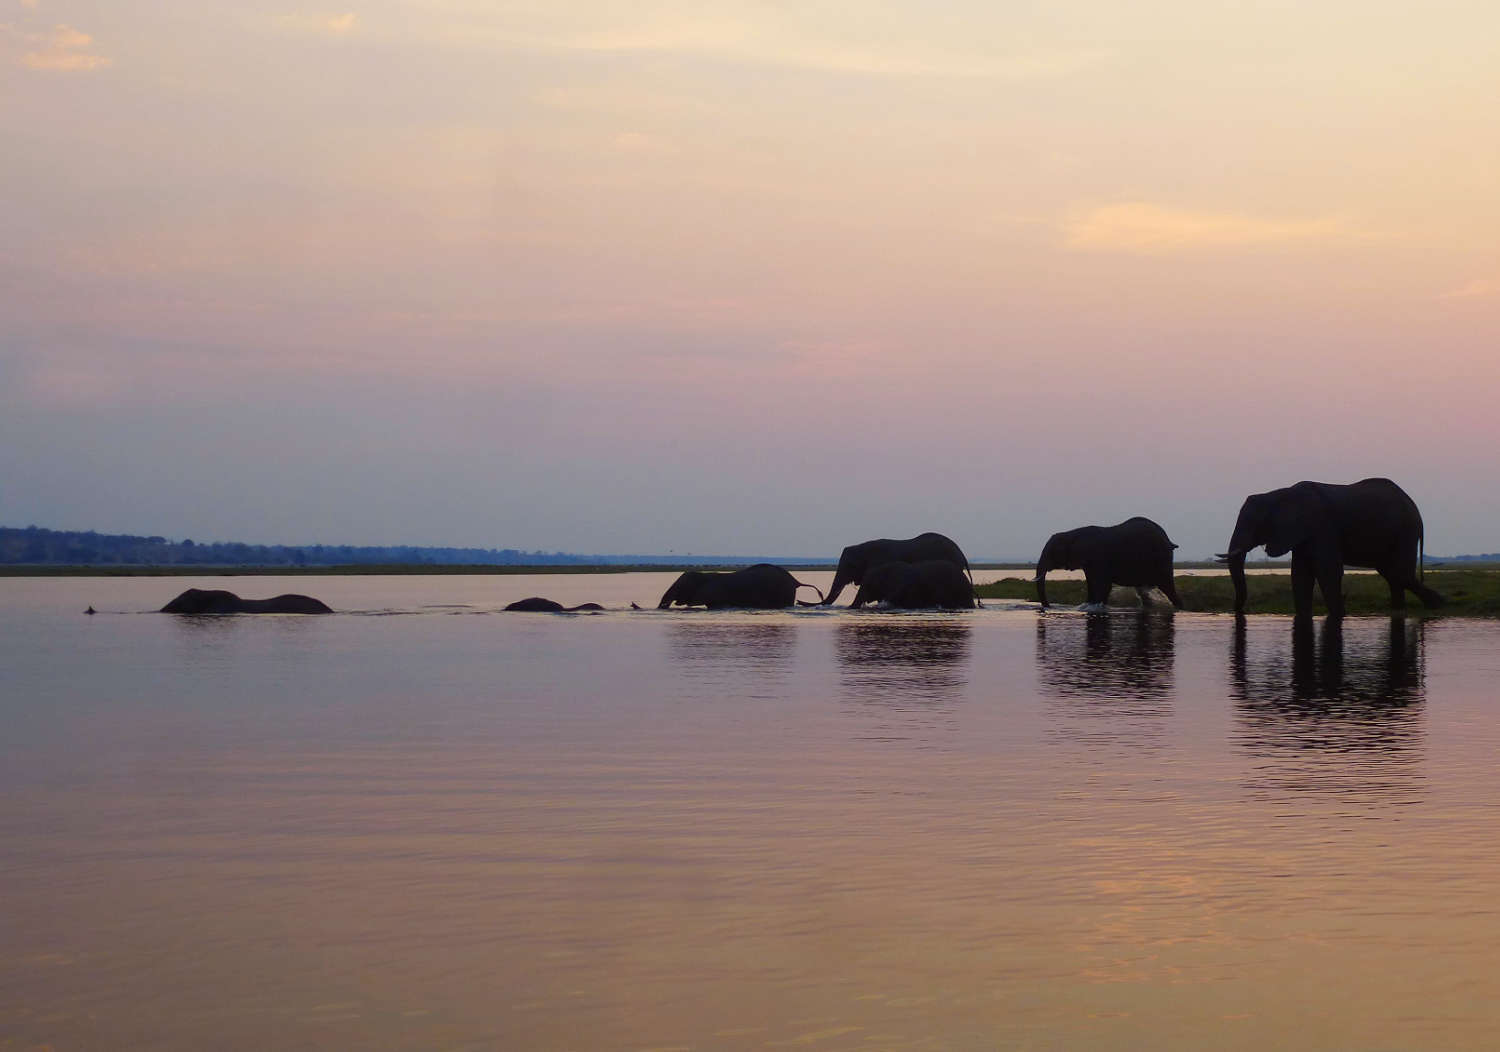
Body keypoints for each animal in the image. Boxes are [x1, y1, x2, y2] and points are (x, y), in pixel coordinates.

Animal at [1032, 516, 1182, 606]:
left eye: (1051, 552)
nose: (1048, 606)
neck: (1072, 534)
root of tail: (1169, 541)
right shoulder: (1088, 563)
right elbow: (1092, 584)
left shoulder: (1098, 558)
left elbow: (1102, 585)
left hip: (1162, 559)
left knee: (1168, 587)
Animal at [1212, 477, 1446, 615]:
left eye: (1254, 524)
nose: (1237, 611)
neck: (1278, 494)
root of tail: (1415, 508)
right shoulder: (1301, 533)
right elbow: (1300, 574)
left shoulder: (1321, 527)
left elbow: (1326, 570)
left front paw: (1338, 615)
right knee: (1391, 574)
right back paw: (1404, 609)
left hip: (1405, 531)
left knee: (1399, 573)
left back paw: (1437, 605)